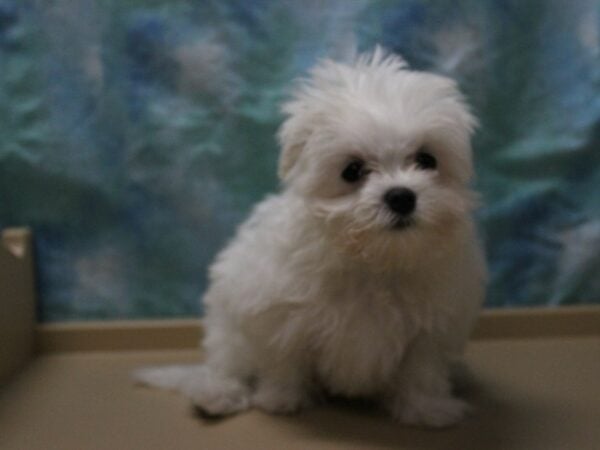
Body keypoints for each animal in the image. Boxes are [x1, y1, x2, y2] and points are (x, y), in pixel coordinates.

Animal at [134, 47, 486, 428]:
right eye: (352, 171)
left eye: (426, 159)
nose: (401, 196)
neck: (374, 260)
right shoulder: (277, 311)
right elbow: (284, 358)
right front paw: (281, 399)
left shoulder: (433, 325)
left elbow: (421, 369)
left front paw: (427, 409)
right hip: (227, 327)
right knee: (228, 363)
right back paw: (217, 394)